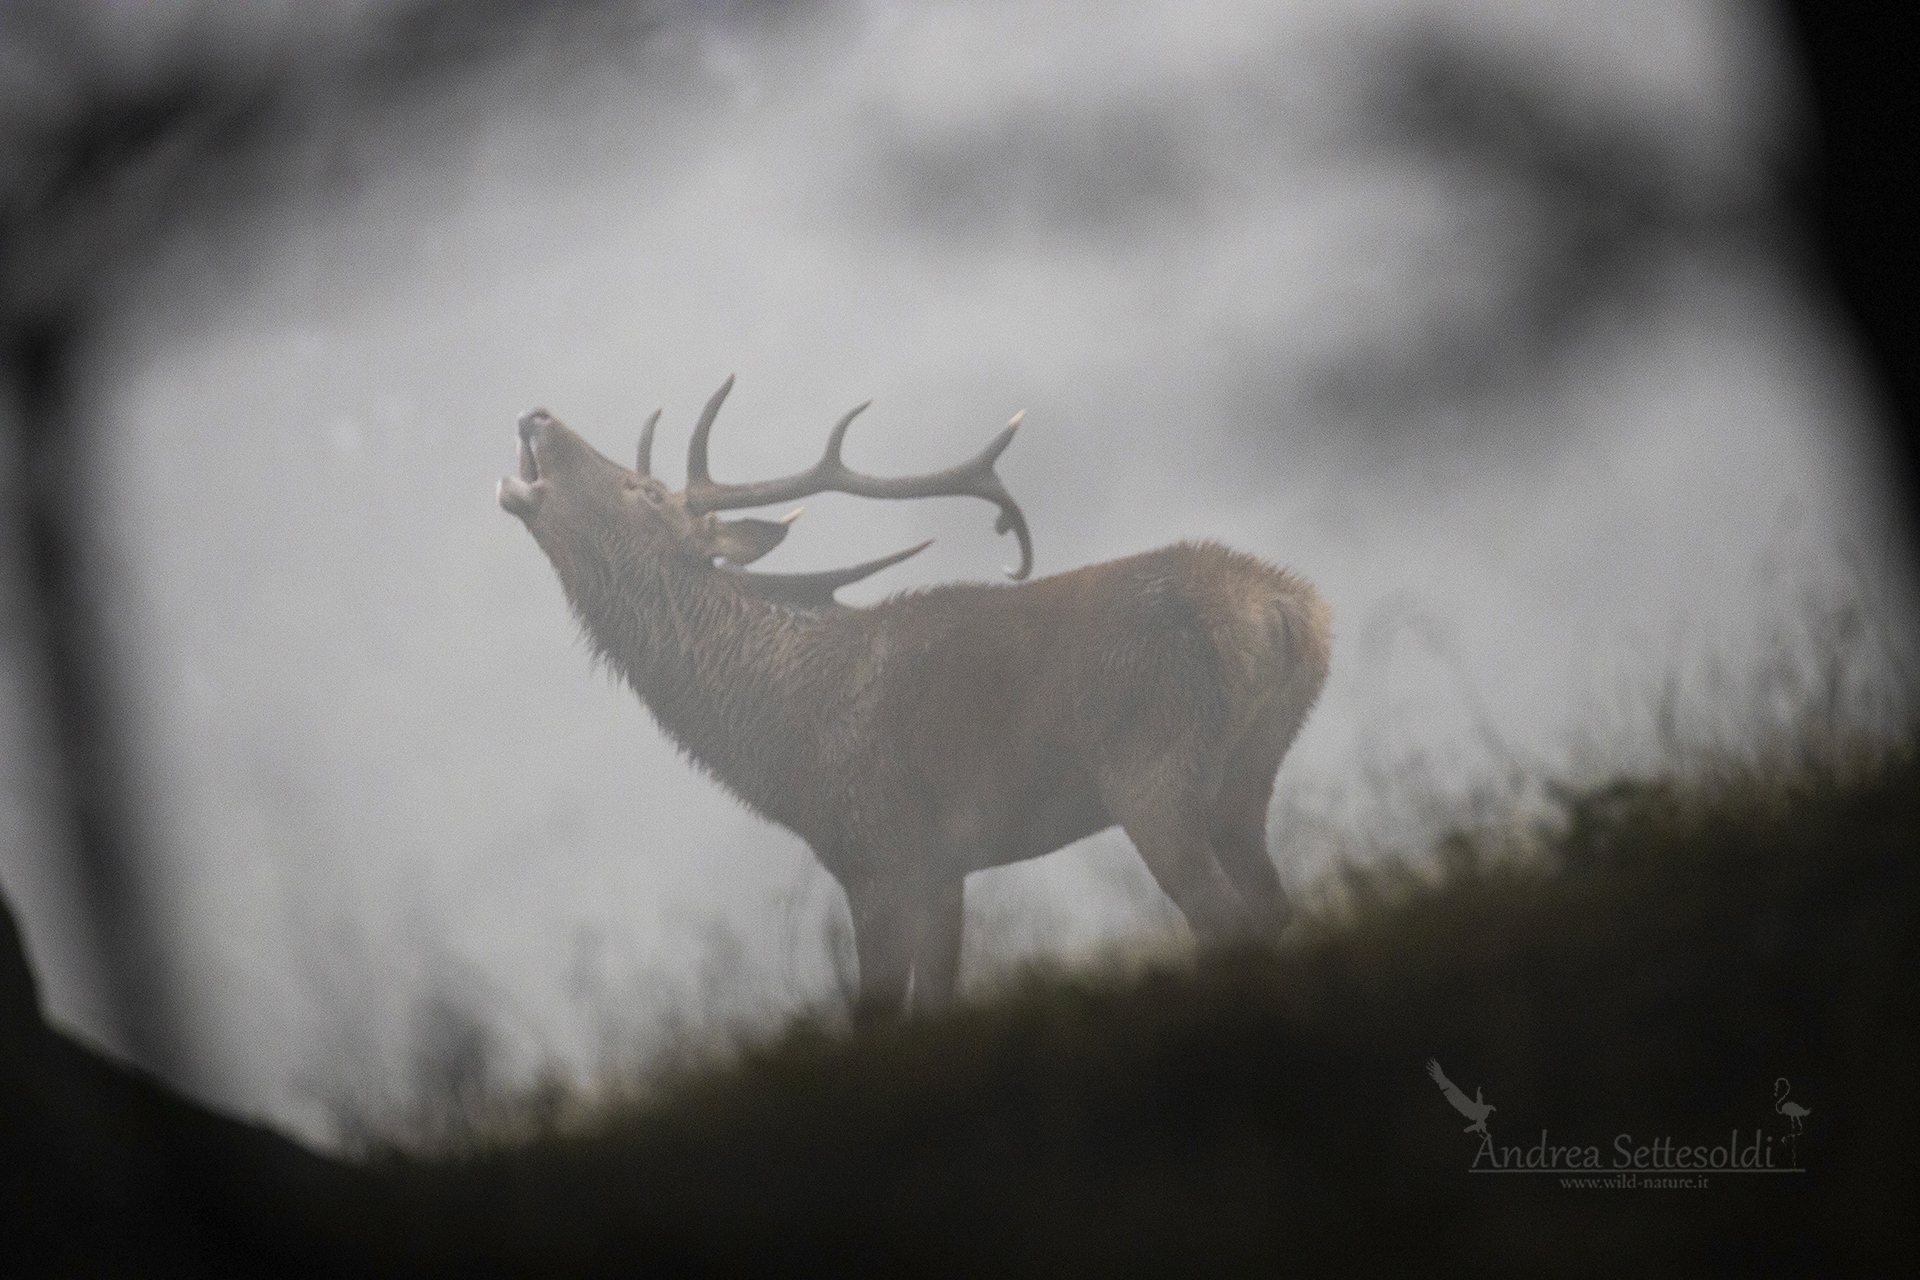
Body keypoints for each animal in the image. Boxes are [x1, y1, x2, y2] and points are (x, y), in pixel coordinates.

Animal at [498, 376, 1330, 1018]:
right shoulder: (945, 868)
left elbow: (877, 1017)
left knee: (1225, 921)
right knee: (1274, 906)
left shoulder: (879, 856)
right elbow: (936, 1006)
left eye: (642, 491)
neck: (780, 742)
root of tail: (1290, 609)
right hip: (1248, 772)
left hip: (1151, 765)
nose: (537, 414)